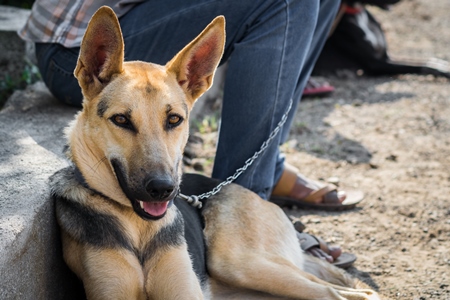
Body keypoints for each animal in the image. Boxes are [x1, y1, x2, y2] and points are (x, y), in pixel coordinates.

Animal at [50, 5, 380, 298]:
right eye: (121, 120)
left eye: (174, 120)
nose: (162, 189)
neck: (138, 227)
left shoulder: (185, 292)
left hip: (239, 262)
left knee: (344, 293)